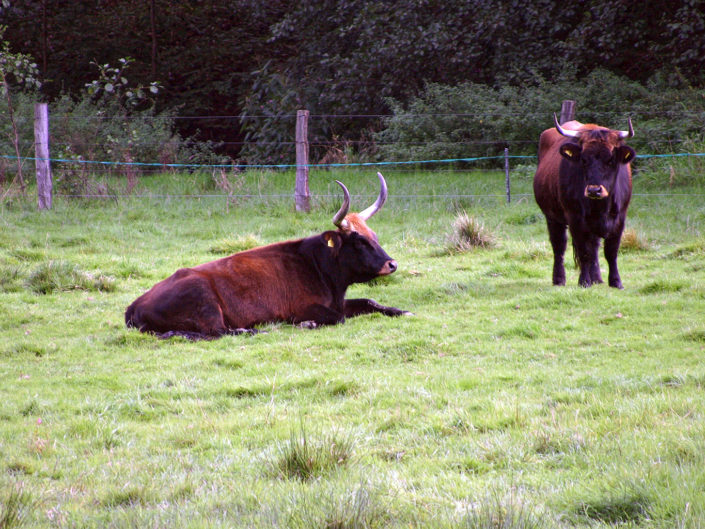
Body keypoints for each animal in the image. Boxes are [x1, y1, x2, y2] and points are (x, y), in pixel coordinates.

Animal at [125, 172, 411, 339]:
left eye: (373, 235)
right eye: (359, 240)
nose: (392, 264)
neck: (317, 266)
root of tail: (134, 305)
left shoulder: (340, 303)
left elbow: (370, 301)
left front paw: (402, 311)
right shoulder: (304, 308)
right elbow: (336, 319)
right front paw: (306, 325)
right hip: (205, 302)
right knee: (216, 332)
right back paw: (252, 329)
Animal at [533, 114, 636, 288]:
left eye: (610, 160)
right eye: (584, 160)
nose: (594, 190)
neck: (600, 207)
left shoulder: (620, 218)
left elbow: (611, 251)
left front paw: (616, 281)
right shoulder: (575, 219)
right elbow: (583, 252)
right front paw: (584, 281)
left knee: (594, 247)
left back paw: (597, 278)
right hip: (552, 217)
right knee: (559, 246)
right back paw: (559, 279)